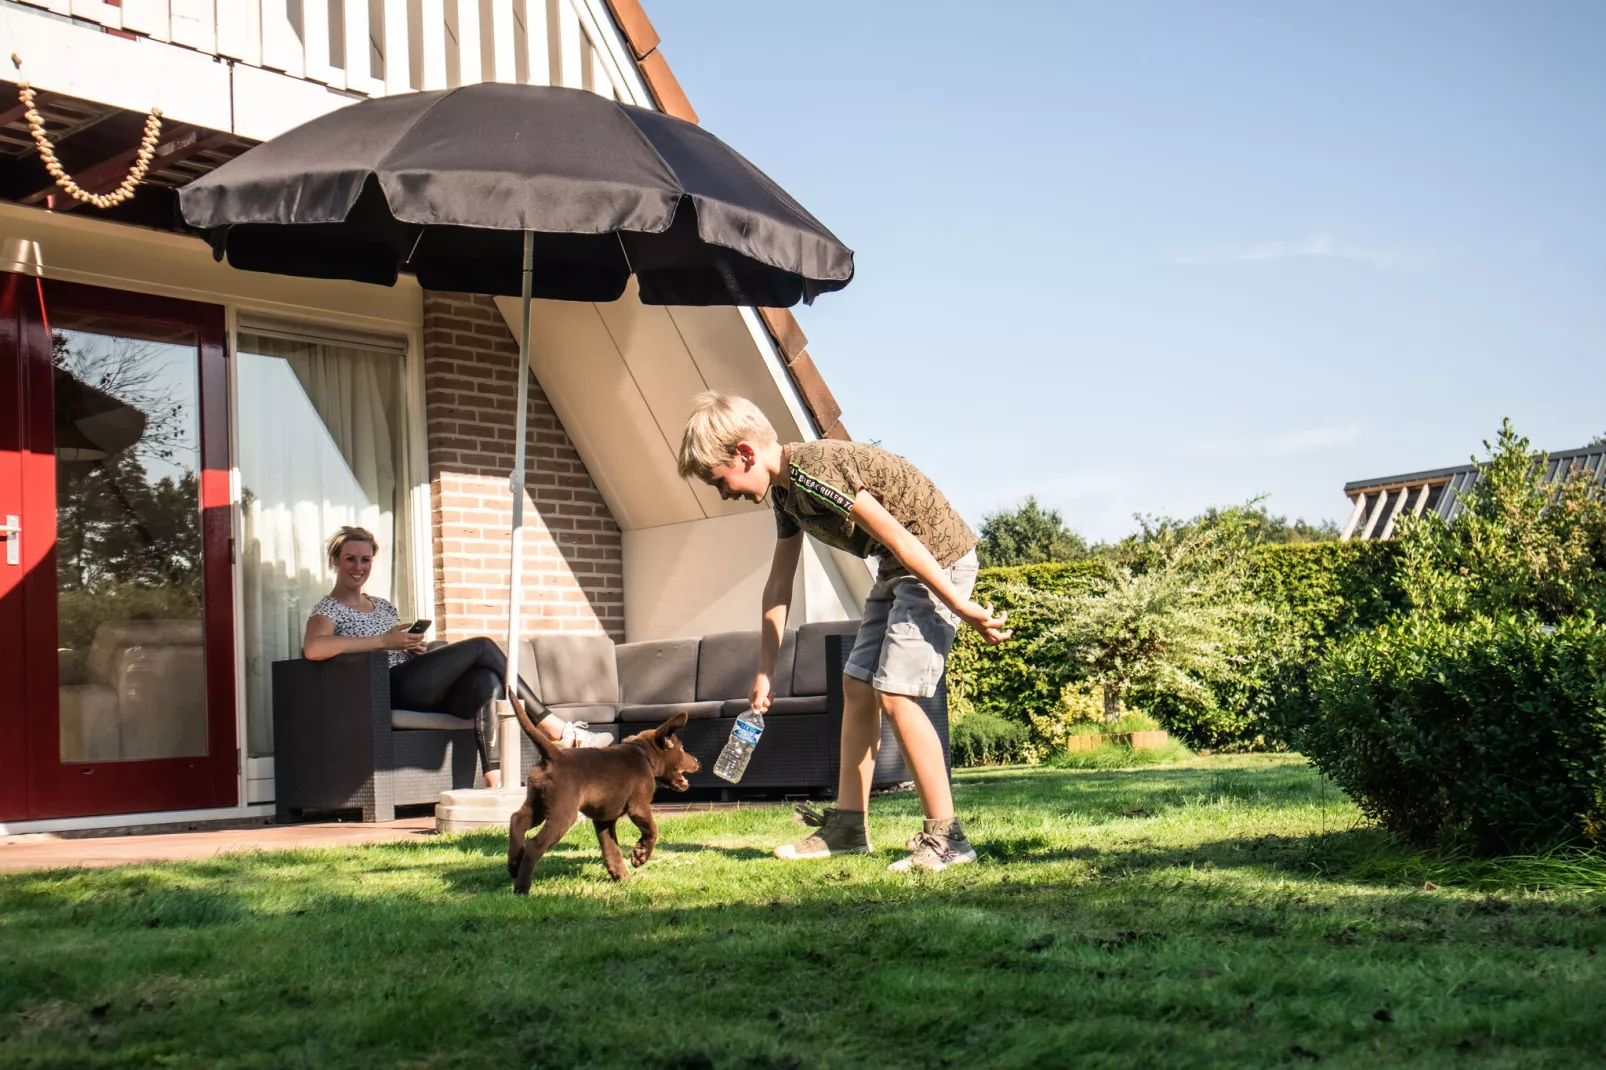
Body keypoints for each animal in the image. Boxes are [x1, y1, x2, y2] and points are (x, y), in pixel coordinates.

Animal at [507, 697, 697, 886]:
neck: (644, 755)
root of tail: (554, 755)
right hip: (563, 813)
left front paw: (622, 877)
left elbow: (612, 850)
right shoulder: (639, 807)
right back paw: (522, 887)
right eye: (681, 749)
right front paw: (640, 856)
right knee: (534, 845)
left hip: (538, 802)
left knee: (517, 820)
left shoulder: (604, 820)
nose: (696, 761)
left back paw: (514, 864)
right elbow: (652, 829)